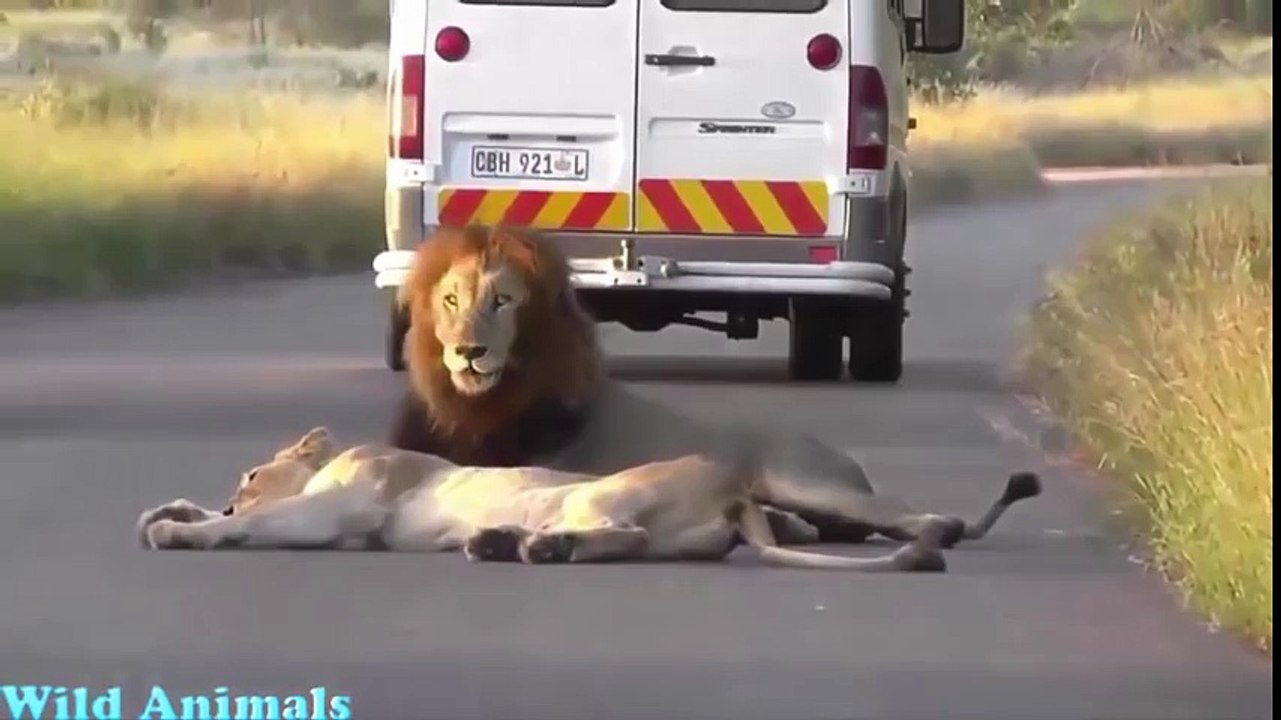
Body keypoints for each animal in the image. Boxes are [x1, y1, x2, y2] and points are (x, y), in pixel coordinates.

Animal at [383, 225, 1042, 549]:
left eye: (502, 301)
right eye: (451, 301)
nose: (469, 351)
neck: (475, 408)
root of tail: (843, 460)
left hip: (805, 481)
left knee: (928, 518)